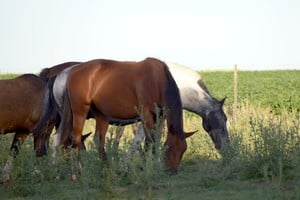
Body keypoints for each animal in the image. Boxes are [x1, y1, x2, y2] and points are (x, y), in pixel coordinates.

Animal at [35, 57, 196, 173]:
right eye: (170, 148)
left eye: (183, 150)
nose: (172, 171)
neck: (157, 80)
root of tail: (70, 73)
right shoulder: (146, 115)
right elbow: (149, 141)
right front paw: (145, 166)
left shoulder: (159, 117)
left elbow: (153, 140)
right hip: (78, 112)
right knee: (74, 139)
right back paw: (78, 170)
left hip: (100, 116)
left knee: (95, 141)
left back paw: (104, 168)